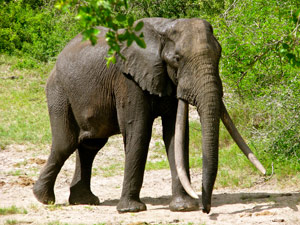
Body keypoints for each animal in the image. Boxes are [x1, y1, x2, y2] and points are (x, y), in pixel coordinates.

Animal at [33, 17, 264, 213]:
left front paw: (183, 207)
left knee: (91, 144)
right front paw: (131, 210)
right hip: (58, 92)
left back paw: (84, 201)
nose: (206, 210)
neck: (164, 29)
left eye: (220, 54)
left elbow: (176, 135)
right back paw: (44, 199)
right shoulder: (128, 80)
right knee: (66, 143)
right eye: (177, 59)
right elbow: (139, 130)